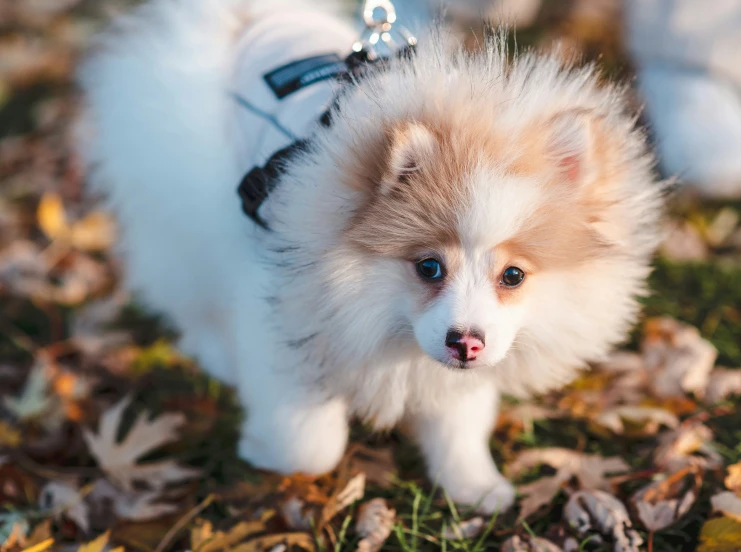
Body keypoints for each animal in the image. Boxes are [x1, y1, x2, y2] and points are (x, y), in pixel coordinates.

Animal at [82, 0, 664, 512]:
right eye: (429, 267)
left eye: (514, 275)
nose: (465, 343)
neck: (381, 319)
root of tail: (239, 20)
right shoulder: (284, 318)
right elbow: (310, 444)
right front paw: (266, 451)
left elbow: (458, 423)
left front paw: (474, 485)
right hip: (186, 214)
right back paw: (216, 353)